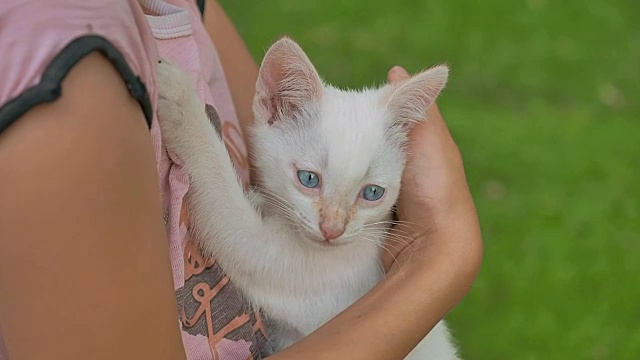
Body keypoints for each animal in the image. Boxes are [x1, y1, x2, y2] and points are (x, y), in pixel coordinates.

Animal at [158, 38, 462, 358]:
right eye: (309, 179)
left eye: (372, 193)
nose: (332, 229)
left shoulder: (276, 264)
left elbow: (223, 198)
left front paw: (178, 98)